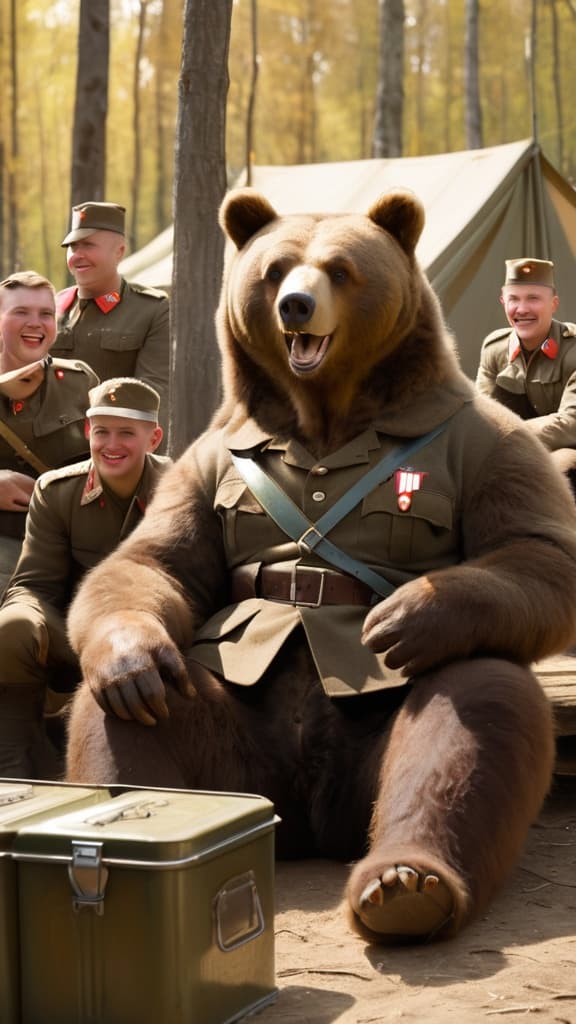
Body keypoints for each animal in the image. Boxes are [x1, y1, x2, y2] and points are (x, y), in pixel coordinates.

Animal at [65, 187, 576, 944]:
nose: (296, 306)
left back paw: (406, 882)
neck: (326, 415)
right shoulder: (210, 456)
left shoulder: (487, 438)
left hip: (370, 746)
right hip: (239, 743)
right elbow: (160, 560)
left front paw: (406, 614)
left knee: (477, 702)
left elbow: (536, 549)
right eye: (274, 269)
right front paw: (132, 654)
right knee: (139, 708)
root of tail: (307, 820)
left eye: (339, 268)